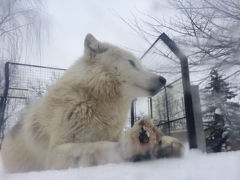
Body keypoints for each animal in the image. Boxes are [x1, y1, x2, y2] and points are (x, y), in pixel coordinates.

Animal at [0, 34, 184, 173]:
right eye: (131, 62)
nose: (163, 79)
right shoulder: (53, 154)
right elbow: (94, 147)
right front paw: (134, 142)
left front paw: (164, 143)